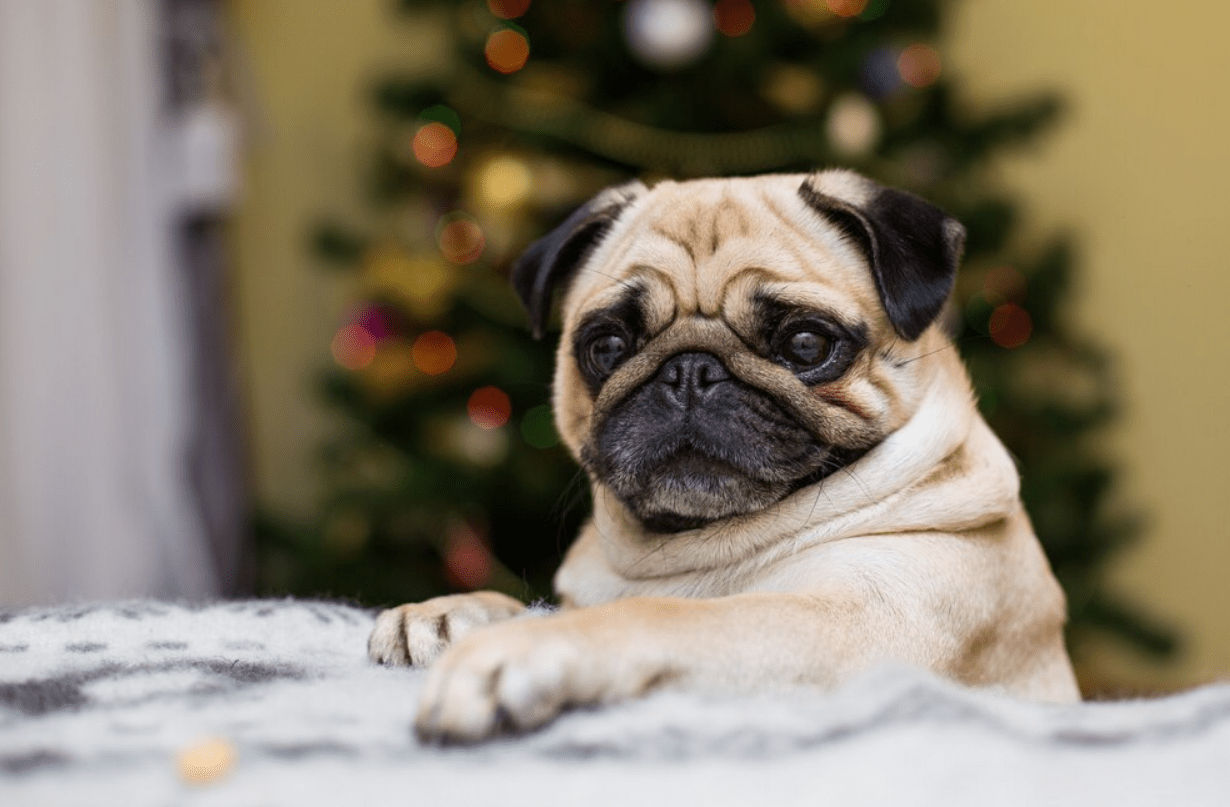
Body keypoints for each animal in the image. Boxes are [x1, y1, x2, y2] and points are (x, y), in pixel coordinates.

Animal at [364, 169, 1077, 743]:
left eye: (807, 344)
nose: (690, 372)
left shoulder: (857, 623)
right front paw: (446, 613)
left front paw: (521, 650)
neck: (696, 549)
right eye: (607, 345)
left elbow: (661, 616)